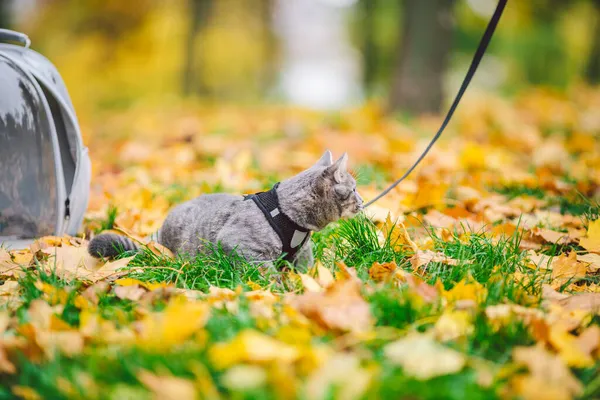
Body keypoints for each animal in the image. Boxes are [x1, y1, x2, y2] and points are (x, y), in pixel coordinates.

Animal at [87, 152, 364, 270]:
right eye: (354, 189)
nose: (362, 200)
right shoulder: (239, 245)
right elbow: (266, 272)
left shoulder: (303, 253)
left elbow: (306, 270)